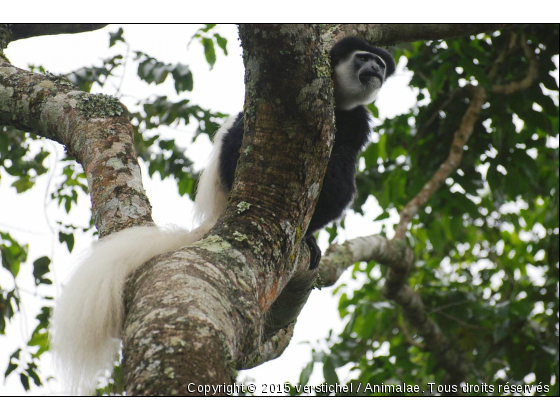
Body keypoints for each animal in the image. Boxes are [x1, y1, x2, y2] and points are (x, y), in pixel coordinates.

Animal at [51, 36, 394, 394]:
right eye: (363, 58)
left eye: (380, 64)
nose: (376, 68)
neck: (339, 103)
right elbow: (238, 140)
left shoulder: (358, 120)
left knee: (343, 174)